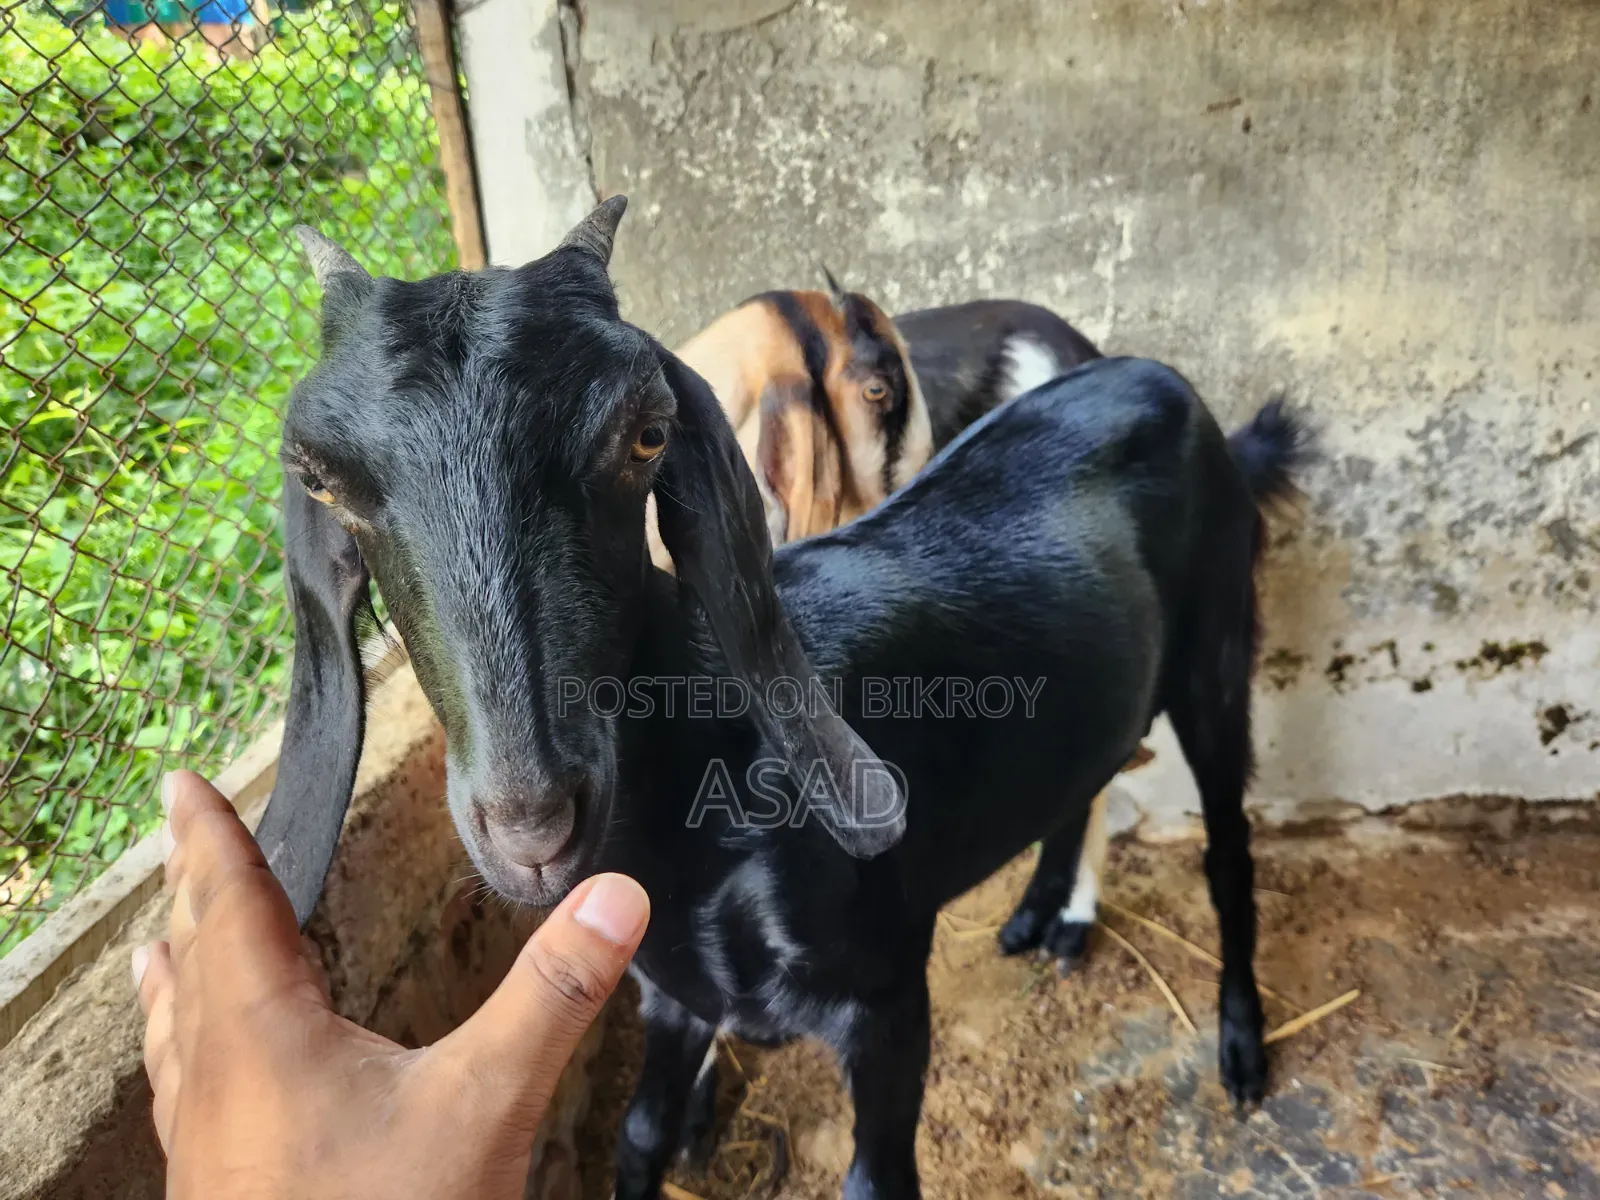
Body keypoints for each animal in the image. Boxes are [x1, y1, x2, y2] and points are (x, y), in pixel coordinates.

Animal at [255, 199, 1304, 1200]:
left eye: (646, 436)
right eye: (320, 478)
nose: (532, 824)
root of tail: (1162, 380)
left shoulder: (885, 998)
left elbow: (877, 1178)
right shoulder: (676, 997)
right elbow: (641, 1133)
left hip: (1218, 646)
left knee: (1227, 846)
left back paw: (1240, 1049)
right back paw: (1041, 911)